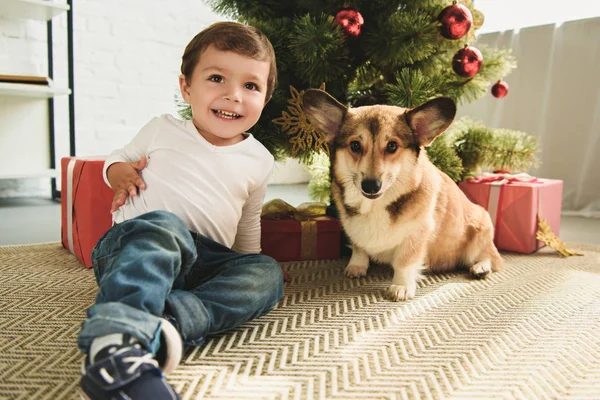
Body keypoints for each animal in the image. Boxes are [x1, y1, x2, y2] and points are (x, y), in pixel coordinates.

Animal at [302, 89, 504, 302]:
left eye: (392, 146)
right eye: (355, 145)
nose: (371, 186)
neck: (375, 206)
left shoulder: (416, 234)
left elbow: (404, 262)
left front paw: (401, 287)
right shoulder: (353, 230)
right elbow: (358, 248)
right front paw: (357, 266)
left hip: (479, 229)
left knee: (492, 258)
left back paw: (481, 267)